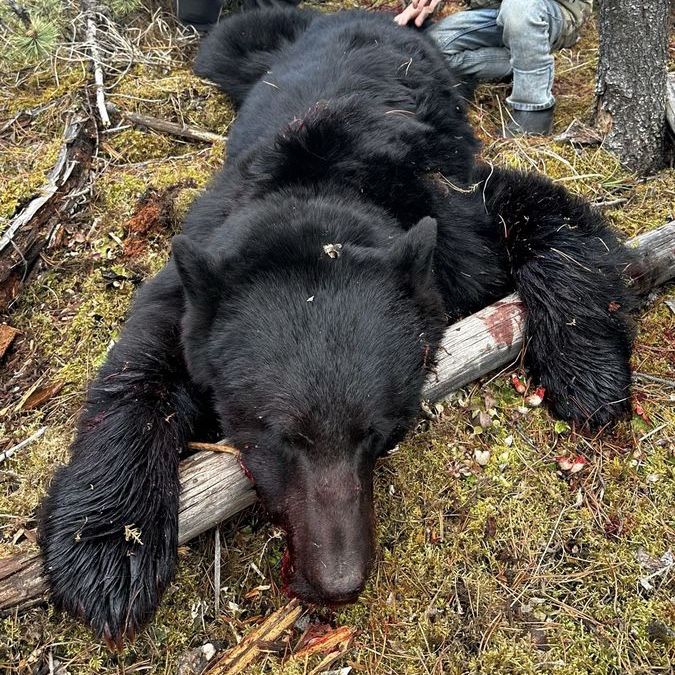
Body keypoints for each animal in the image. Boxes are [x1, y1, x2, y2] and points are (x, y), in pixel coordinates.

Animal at [39, 4, 635, 647]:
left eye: (380, 433)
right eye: (276, 436)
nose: (339, 582)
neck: (318, 199)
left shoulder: (450, 217)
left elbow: (543, 211)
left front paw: (589, 371)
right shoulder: (207, 259)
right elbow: (140, 362)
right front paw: (106, 548)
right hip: (234, 54)